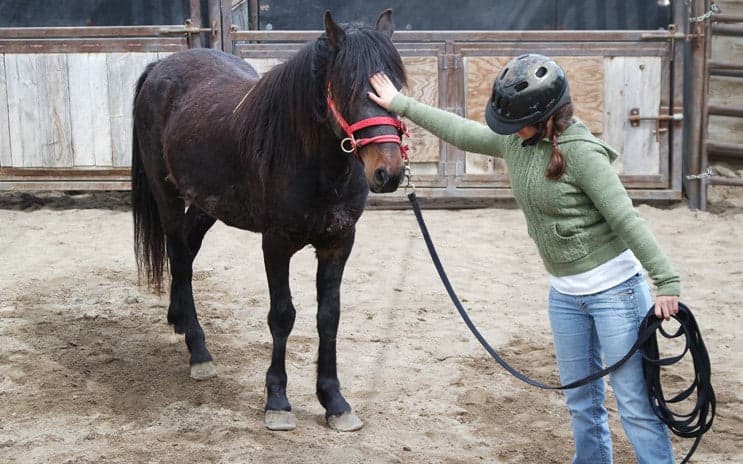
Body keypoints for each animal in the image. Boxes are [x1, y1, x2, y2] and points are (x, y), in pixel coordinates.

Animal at [130, 9, 407, 432]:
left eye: (396, 87)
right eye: (348, 88)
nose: (388, 173)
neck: (311, 162)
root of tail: (161, 68)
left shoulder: (338, 244)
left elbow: (329, 318)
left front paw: (335, 402)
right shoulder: (276, 244)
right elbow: (282, 316)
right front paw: (277, 401)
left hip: (207, 204)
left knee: (187, 256)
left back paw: (178, 319)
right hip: (168, 196)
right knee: (178, 255)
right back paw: (199, 351)